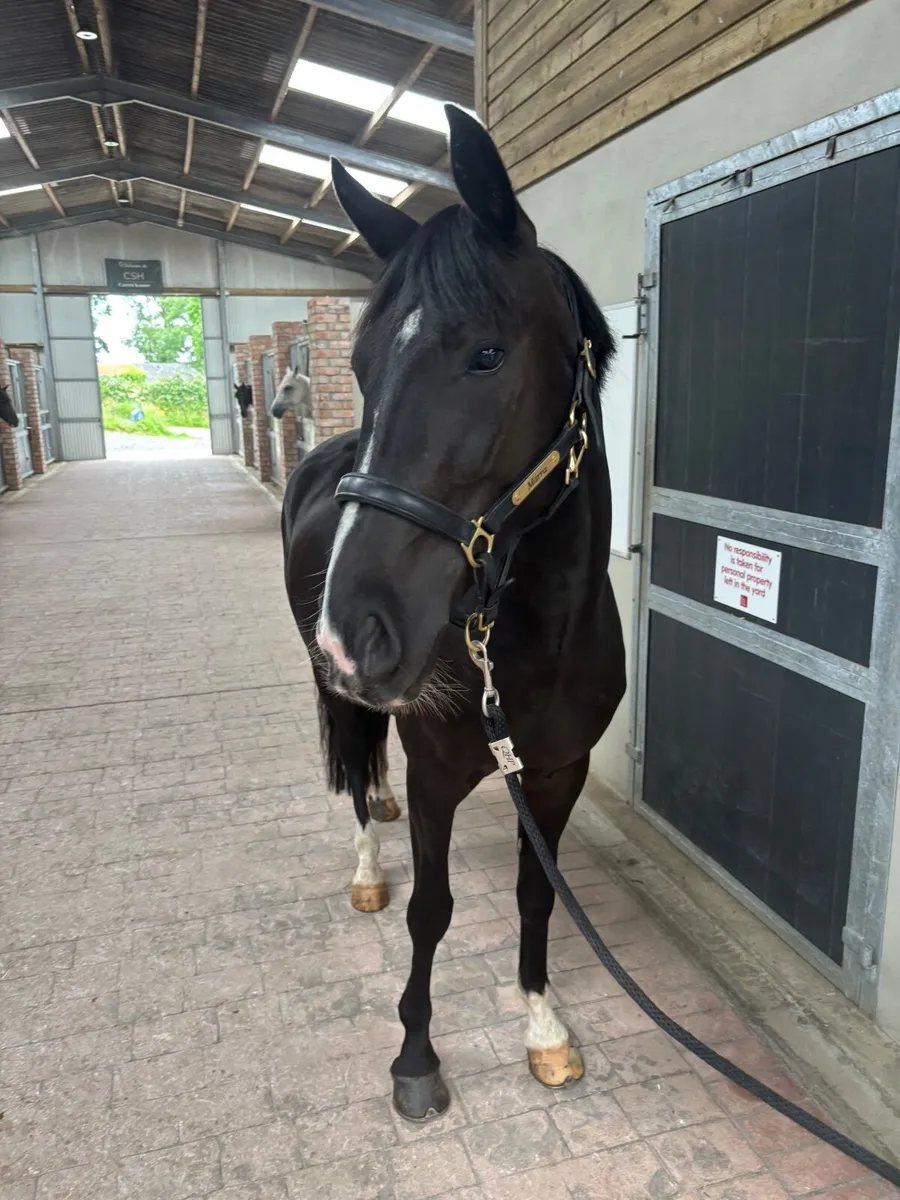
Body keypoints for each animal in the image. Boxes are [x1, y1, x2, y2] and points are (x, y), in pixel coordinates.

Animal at [281, 104, 625, 1122]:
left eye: (487, 353)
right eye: (359, 363)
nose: (357, 628)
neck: (530, 644)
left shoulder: (555, 772)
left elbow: (535, 896)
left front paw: (544, 1027)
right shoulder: (439, 772)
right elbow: (431, 911)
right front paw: (416, 1055)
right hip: (338, 692)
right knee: (354, 768)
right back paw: (367, 866)